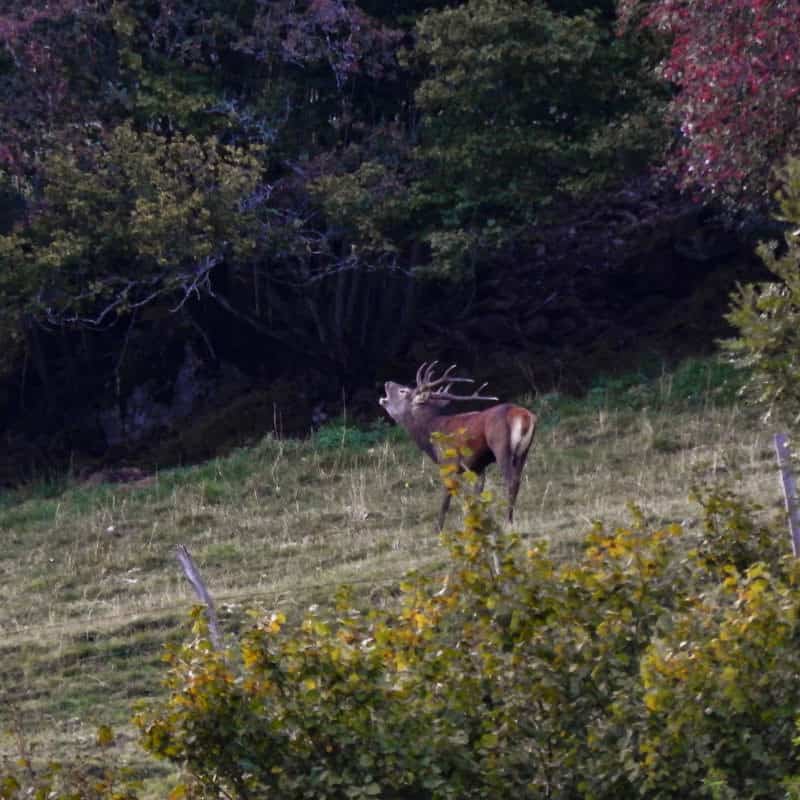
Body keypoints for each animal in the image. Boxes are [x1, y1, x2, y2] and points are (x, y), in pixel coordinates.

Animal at [379, 362, 537, 530]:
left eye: (403, 391)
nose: (387, 382)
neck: (431, 435)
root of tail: (525, 416)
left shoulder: (448, 463)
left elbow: (446, 500)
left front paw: (438, 528)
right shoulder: (477, 467)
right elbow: (476, 495)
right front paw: (474, 523)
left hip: (501, 447)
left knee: (510, 481)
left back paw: (509, 521)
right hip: (523, 452)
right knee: (518, 480)